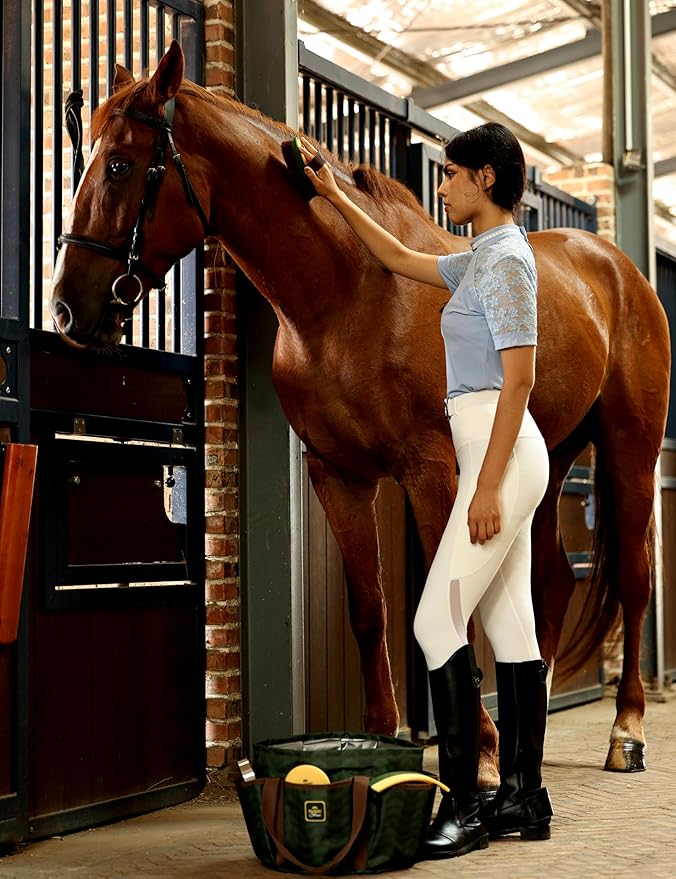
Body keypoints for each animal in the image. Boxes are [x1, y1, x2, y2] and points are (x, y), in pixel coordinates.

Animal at [49, 41, 670, 784]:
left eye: (118, 164)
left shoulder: (433, 473)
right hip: (547, 459)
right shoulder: (337, 474)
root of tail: (617, 268)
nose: (66, 308)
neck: (351, 295)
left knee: (633, 579)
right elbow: (370, 608)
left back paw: (627, 731)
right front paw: (380, 746)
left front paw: (482, 755)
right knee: (547, 581)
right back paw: (537, 723)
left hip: (629, 450)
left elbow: (453, 606)